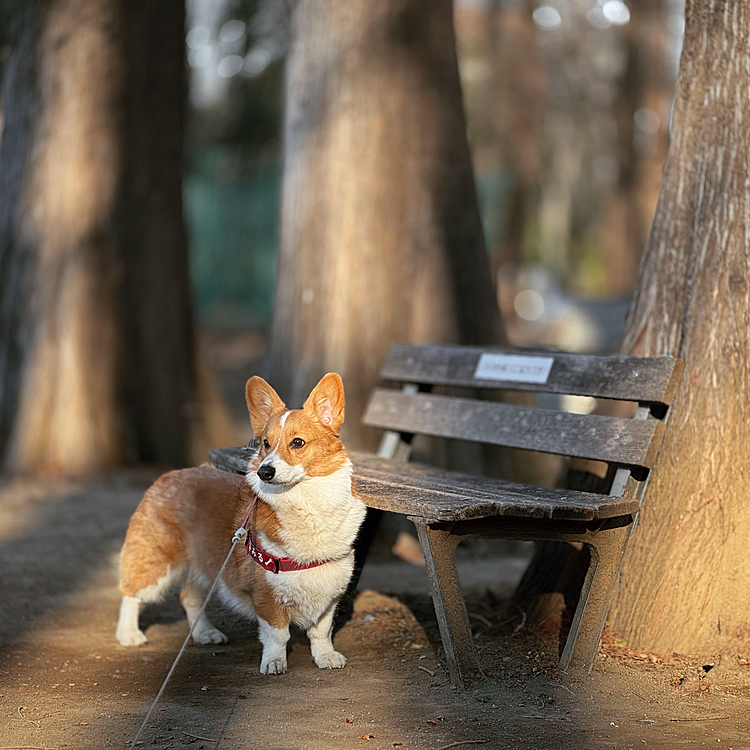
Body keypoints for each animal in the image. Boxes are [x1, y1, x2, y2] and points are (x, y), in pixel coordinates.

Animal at [114, 374, 368, 676]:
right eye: (266, 444)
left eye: (297, 442)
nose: (264, 471)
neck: (307, 504)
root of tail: (169, 475)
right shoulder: (267, 594)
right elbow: (277, 634)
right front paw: (274, 662)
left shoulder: (329, 589)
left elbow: (322, 631)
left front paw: (325, 657)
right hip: (158, 562)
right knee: (131, 593)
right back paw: (128, 634)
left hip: (206, 561)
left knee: (189, 596)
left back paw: (204, 632)